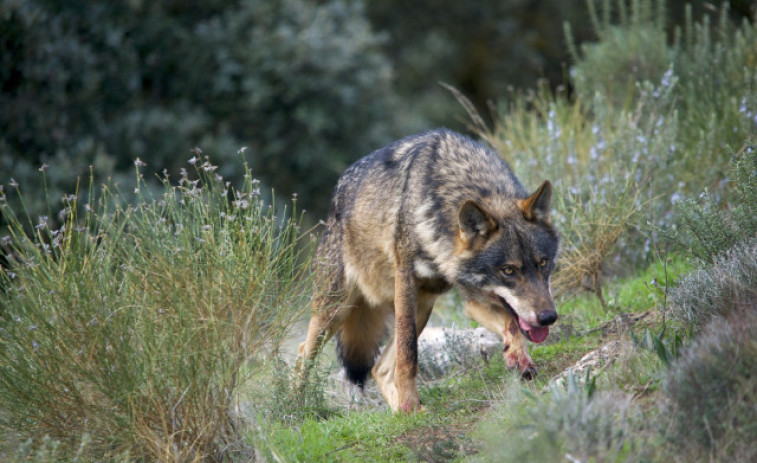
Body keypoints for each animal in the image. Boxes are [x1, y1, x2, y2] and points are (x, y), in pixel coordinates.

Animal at [298, 128, 560, 414]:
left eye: (543, 263)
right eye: (509, 270)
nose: (548, 317)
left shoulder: (473, 299)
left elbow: (510, 323)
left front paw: (519, 358)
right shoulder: (406, 282)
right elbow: (408, 354)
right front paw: (410, 401)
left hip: (422, 307)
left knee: (379, 369)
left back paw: (402, 414)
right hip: (336, 310)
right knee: (303, 353)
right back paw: (295, 405)